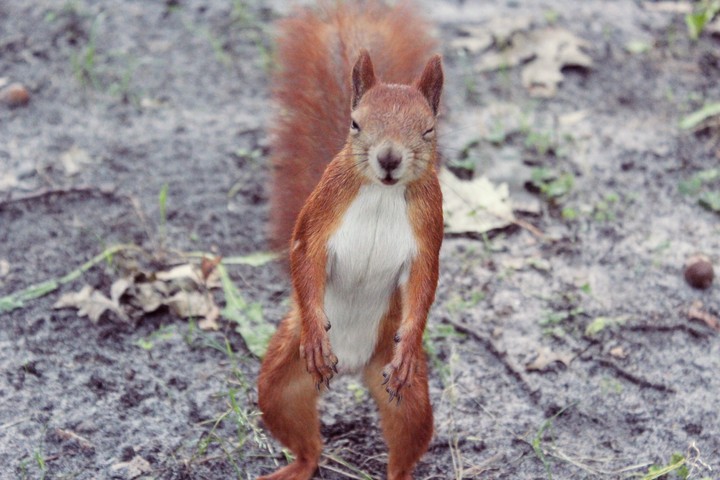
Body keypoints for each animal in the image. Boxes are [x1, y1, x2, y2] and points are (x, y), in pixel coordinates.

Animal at [258, 2, 444, 480]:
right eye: (355, 124)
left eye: (428, 130)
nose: (389, 158)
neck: (380, 193)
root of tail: (356, 365)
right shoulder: (319, 217)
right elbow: (305, 258)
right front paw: (316, 332)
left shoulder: (429, 232)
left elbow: (424, 283)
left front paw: (411, 339)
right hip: (281, 381)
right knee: (304, 440)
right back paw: (296, 466)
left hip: (408, 396)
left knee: (407, 436)